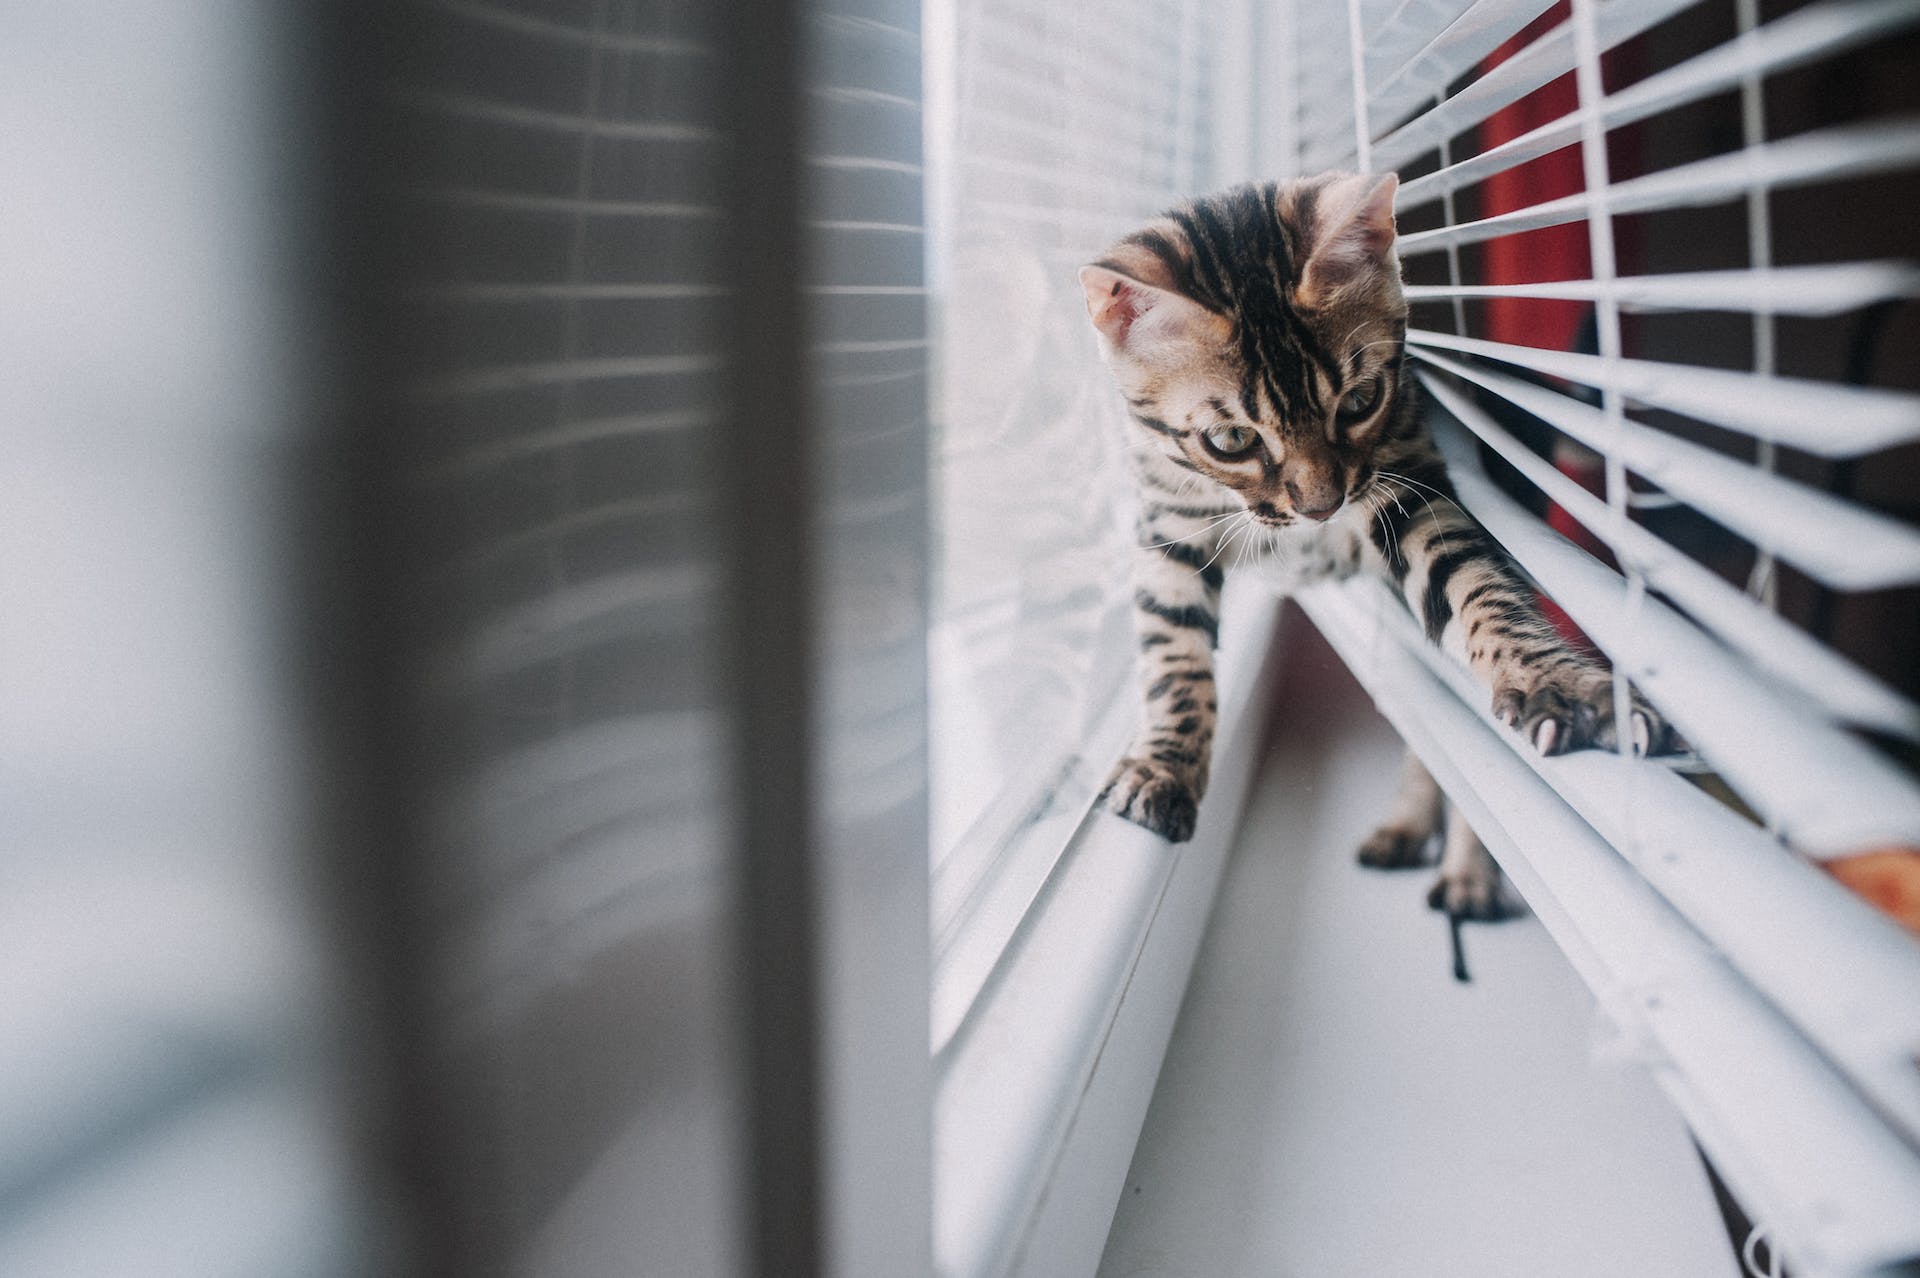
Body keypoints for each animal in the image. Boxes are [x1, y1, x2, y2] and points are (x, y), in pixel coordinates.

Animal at [1075, 174, 1674, 909]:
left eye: (1360, 401)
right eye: (1231, 440)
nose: (1321, 506)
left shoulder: (1411, 489)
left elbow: (1476, 587)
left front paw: (1557, 682)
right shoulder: (1168, 527)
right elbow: (1172, 651)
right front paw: (1165, 766)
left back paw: (1467, 873)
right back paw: (1409, 826)